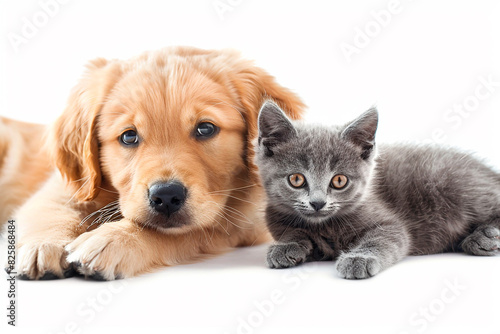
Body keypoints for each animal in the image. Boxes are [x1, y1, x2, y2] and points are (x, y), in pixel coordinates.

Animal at [3, 47, 302, 280]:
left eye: (205, 129)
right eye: (129, 136)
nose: (166, 196)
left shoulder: (239, 225)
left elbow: (174, 233)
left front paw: (113, 239)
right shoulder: (65, 187)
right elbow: (49, 210)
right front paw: (43, 245)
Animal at [256, 102, 498, 280]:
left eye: (339, 180)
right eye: (296, 179)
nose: (317, 203)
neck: (324, 226)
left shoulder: (390, 224)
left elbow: (383, 238)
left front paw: (358, 259)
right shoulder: (276, 219)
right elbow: (292, 231)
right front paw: (286, 246)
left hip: (451, 182)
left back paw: (484, 237)